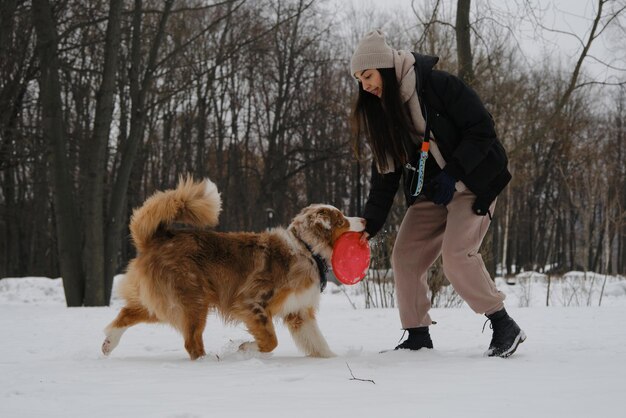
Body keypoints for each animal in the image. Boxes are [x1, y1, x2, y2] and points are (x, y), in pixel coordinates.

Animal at [101, 176, 366, 360]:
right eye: (342, 220)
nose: (364, 219)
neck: (307, 249)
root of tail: (155, 238)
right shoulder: (252, 302)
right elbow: (270, 341)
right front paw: (245, 349)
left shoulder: (299, 311)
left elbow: (317, 341)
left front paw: (332, 361)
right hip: (192, 300)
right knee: (191, 342)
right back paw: (207, 361)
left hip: (164, 302)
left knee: (126, 313)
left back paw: (108, 344)